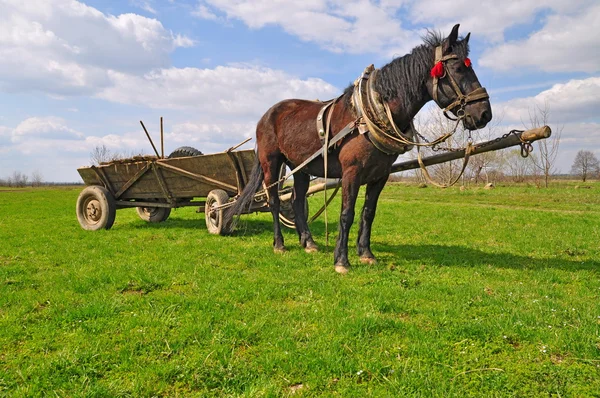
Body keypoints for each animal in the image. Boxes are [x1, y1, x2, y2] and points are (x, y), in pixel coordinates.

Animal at [230, 24, 492, 274]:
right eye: (458, 69)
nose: (484, 114)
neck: (371, 113)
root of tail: (267, 115)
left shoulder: (380, 175)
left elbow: (368, 212)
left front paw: (366, 253)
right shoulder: (352, 172)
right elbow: (347, 214)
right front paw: (341, 260)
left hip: (301, 167)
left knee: (296, 200)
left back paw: (309, 242)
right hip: (271, 162)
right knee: (274, 201)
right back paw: (279, 244)